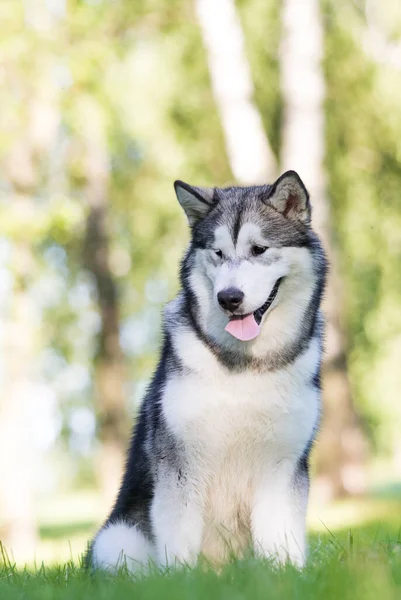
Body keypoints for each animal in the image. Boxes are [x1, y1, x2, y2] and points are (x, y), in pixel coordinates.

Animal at [89, 170, 326, 572]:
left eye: (259, 250)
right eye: (217, 253)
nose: (228, 298)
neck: (247, 365)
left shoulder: (283, 464)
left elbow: (281, 541)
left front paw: (284, 575)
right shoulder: (179, 463)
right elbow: (179, 538)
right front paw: (181, 578)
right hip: (115, 539)